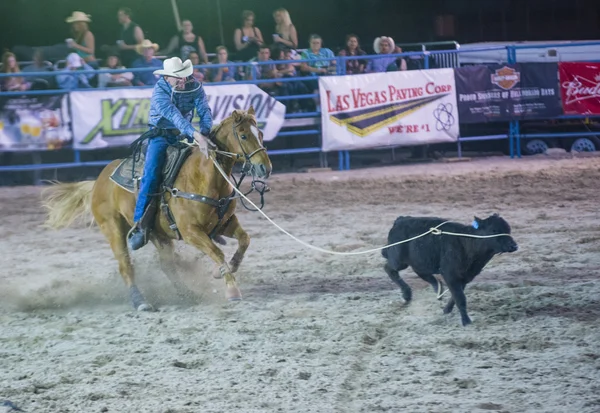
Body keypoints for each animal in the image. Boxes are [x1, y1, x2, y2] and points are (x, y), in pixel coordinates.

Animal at [43, 108, 274, 310]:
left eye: (261, 134)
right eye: (243, 135)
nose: (265, 168)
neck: (203, 178)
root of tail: (98, 181)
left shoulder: (225, 223)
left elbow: (244, 240)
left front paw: (224, 271)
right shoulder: (191, 232)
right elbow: (217, 252)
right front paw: (232, 289)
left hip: (157, 234)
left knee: (167, 266)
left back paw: (187, 294)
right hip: (113, 229)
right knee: (126, 266)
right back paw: (141, 302)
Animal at [384, 212, 516, 326]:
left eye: (508, 229)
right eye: (494, 230)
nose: (514, 246)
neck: (467, 243)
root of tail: (401, 219)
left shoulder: (466, 276)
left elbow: (456, 295)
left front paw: (447, 309)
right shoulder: (450, 274)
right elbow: (460, 297)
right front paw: (466, 321)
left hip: (419, 260)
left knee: (421, 272)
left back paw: (437, 287)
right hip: (398, 259)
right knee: (389, 269)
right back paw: (407, 294)